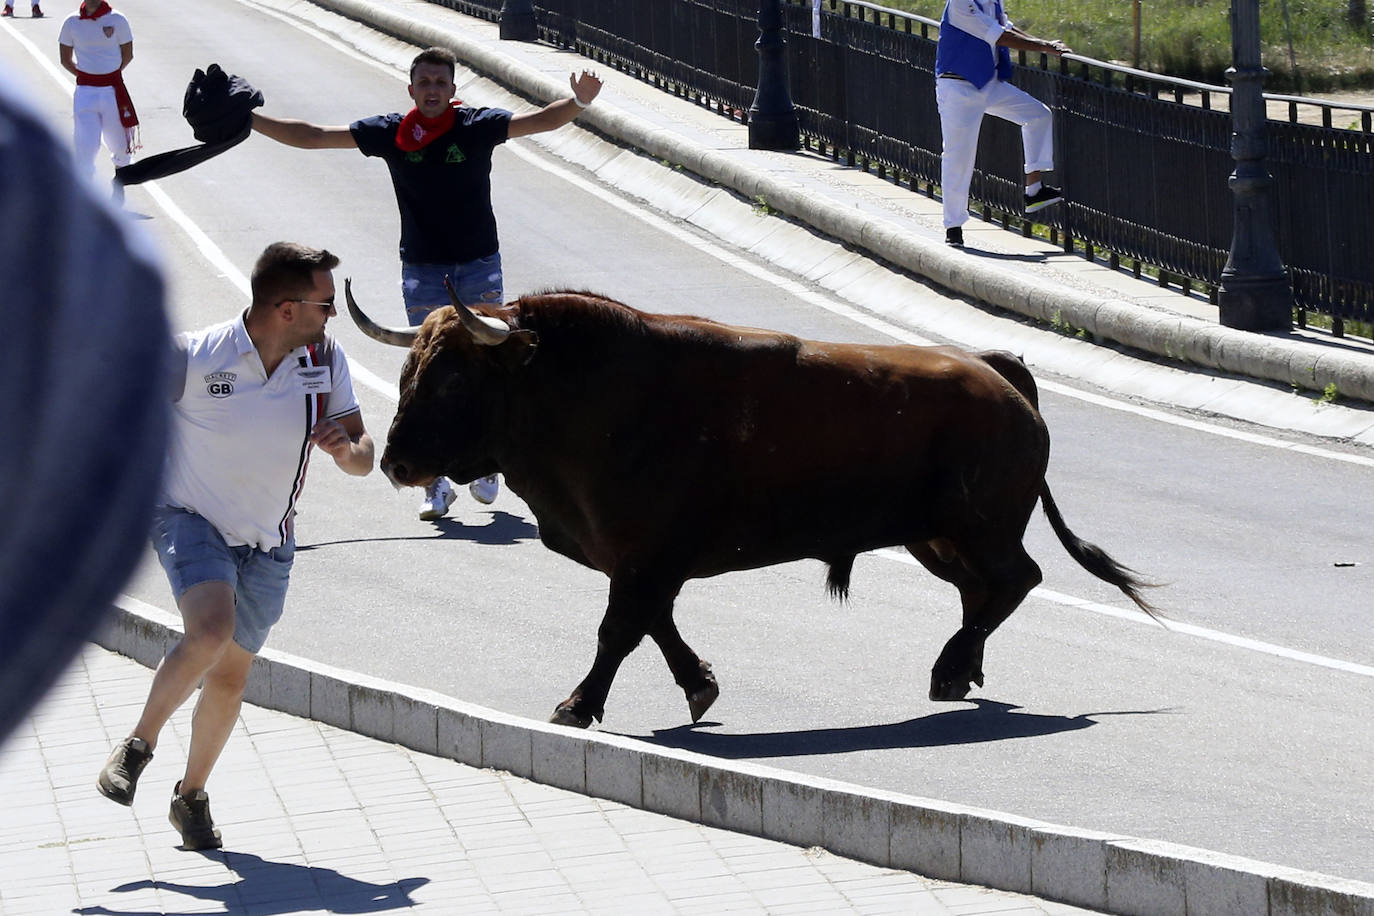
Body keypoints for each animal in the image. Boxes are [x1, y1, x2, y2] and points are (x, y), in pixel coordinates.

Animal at [348, 281, 1154, 730]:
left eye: (454, 377)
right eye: (410, 368)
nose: (395, 463)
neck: (594, 391)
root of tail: (996, 367)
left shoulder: (643, 559)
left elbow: (619, 631)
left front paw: (577, 704)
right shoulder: (643, 563)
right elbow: (656, 627)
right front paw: (700, 686)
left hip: (978, 529)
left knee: (1016, 580)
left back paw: (951, 667)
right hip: (934, 539)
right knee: (981, 591)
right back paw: (958, 672)